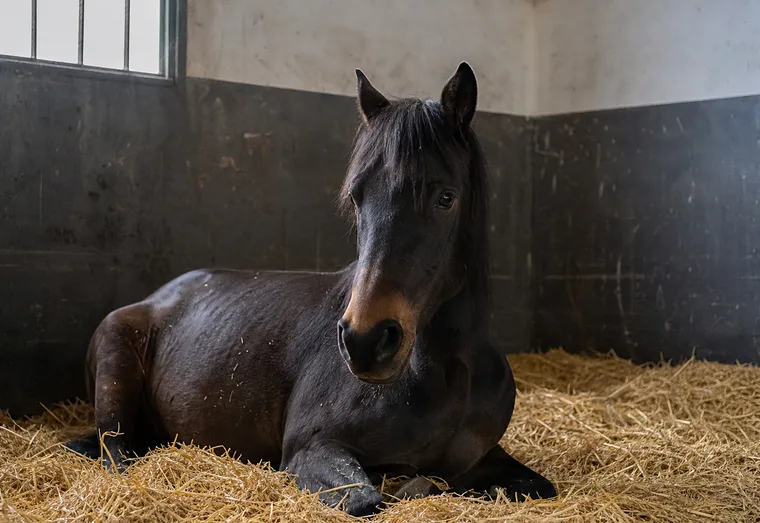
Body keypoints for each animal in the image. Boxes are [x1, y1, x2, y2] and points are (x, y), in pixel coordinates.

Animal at [65, 62, 557, 516]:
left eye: (446, 198)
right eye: (357, 197)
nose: (365, 341)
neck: (447, 370)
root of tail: (157, 299)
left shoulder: (488, 458)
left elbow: (533, 486)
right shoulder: (313, 450)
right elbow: (373, 499)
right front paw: (407, 484)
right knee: (117, 453)